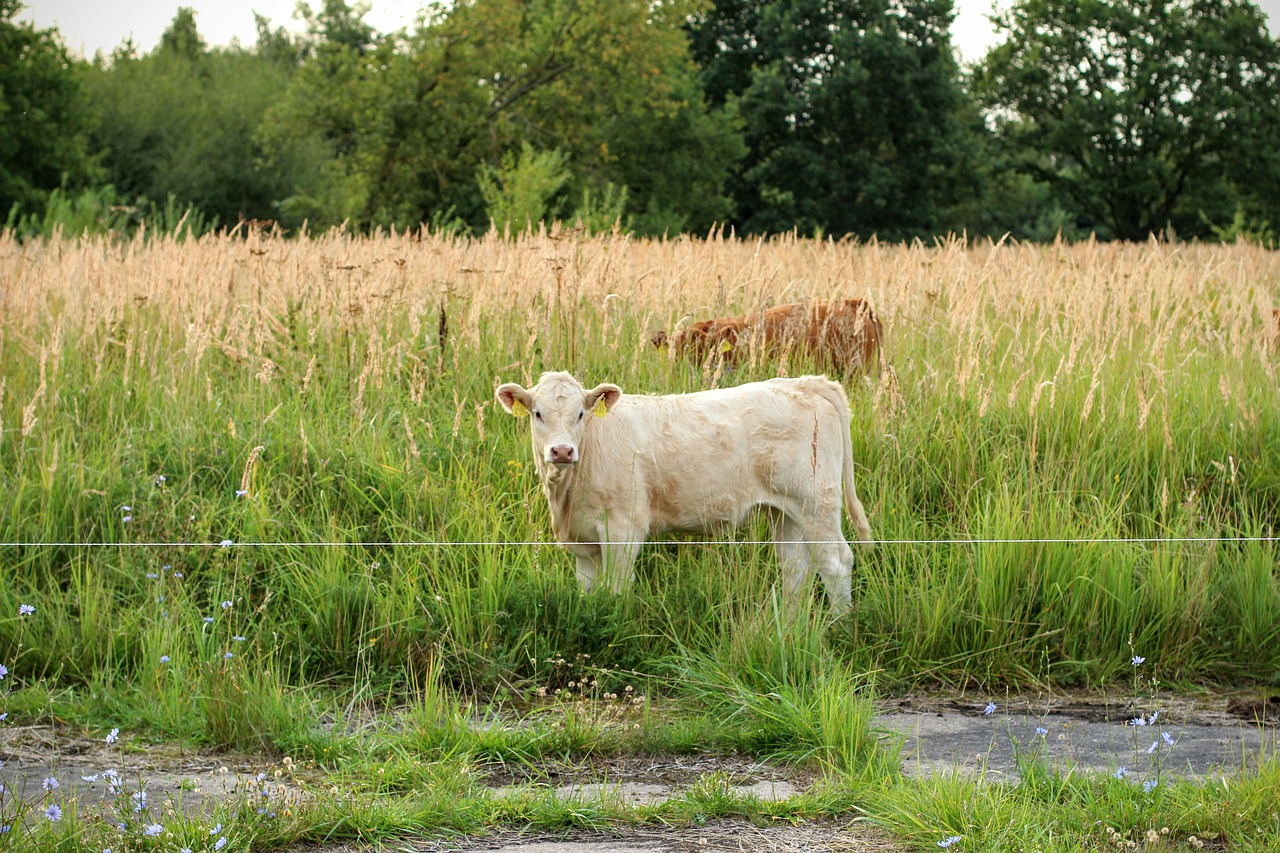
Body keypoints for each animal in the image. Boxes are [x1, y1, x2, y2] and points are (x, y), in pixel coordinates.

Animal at [494, 368, 875, 607]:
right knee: (795, 568)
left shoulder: (624, 529)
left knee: (836, 563)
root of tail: (806, 382)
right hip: (786, 511)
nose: (561, 451)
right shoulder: (582, 541)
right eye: (538, 413)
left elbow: (617, 589)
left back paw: (840, 627)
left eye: (580, 414)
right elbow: (588, 592)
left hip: (817, 503)